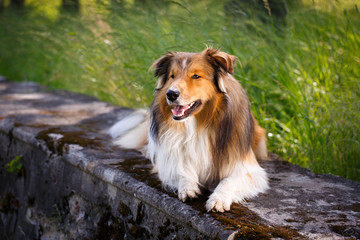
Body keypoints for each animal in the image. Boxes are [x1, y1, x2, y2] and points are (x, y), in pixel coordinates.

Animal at [108, 47, 268, 212]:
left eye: (196, 76)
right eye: (172, 76)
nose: (171, 94)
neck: (197, 126)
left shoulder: (249, 170)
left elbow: (228, 181)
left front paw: (218, 199)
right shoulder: (170, 161)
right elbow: (181, 170)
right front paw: (188, 187)